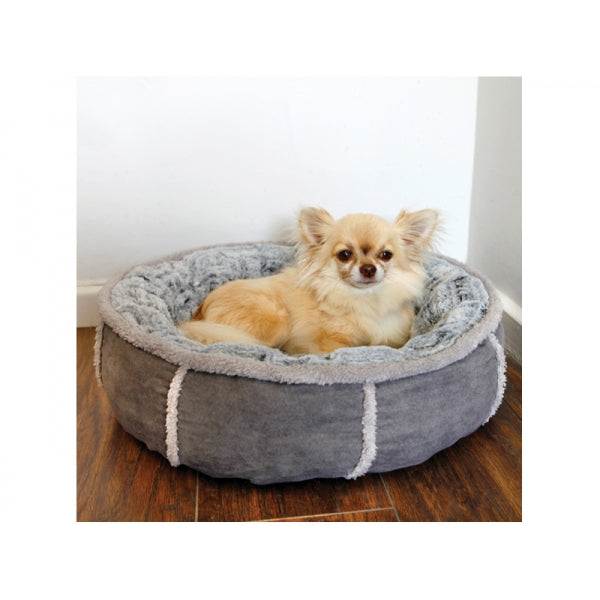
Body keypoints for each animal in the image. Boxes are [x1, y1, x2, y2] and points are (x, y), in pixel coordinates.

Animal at [176, 209, 438, 354]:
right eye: (345, 255)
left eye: (386, 255)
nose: (368, 269)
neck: (365, 300)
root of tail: (199, 313)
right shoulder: (329, 342)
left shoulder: (394, 339)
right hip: (275, 319)